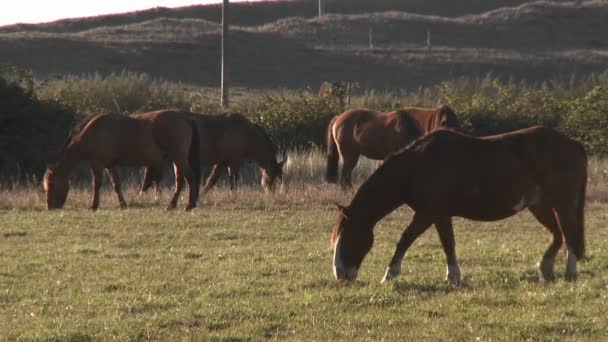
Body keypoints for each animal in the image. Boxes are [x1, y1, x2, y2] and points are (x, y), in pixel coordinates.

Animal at [44, 111, 204, 210]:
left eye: (51, 184)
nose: (50, 207)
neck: (93, 134)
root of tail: (185, 118)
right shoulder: (111, 166)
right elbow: (116, 185)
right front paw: (122, 204)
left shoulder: (97, 165)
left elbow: (96, 185)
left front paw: (94, 205)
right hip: (176, 160)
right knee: (180, 182)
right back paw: (172, 205)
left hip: (179, 157)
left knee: (190, 178)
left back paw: (189, 205)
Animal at [141, 111, 286, 194]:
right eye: (272, 176)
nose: (271, 193)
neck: (247, 134)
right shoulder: (234, 161)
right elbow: (232, 179)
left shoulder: (222, 162)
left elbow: (212, 180)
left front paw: (202, 193)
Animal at [330, 125, 588, 284]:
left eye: (348, 235)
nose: (340, 274)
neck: (418, 166)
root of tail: (574, 144)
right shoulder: (440, 214)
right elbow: (448, 243)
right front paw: (453, 276)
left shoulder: (428, 213)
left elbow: (406, 239)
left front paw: (390, 274)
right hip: (540, 205)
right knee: (558, 234)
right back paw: (546, 269)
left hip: (562, 202)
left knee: (569, 232)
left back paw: (570, 272)